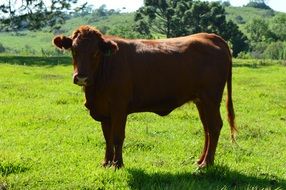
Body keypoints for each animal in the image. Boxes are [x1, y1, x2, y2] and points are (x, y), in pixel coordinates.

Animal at [52, 24, 236, 168]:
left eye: (96, 52)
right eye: (74, 50)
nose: (81, 77)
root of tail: (211, 36)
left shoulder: (119, 107)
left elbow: (117, 136)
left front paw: (117, 164)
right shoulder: (104, 110)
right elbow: (107, 138)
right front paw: (106, 163)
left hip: (211, 98)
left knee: (214, 126)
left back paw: (206, 164)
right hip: (201, 101)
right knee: (207, 129)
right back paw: (200, 160)